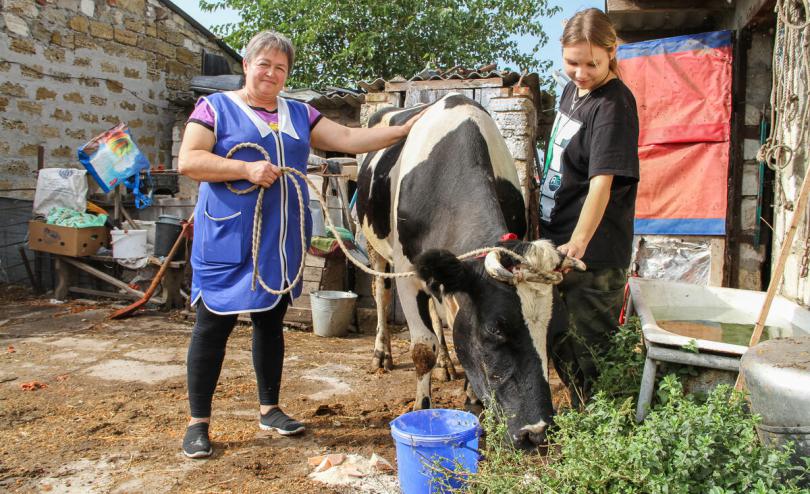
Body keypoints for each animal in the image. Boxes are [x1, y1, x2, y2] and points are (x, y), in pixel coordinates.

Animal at [356, 92, 580, 448]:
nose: (538, 432)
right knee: (380, 293)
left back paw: (447, 364)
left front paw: (472, 397)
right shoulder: (409, 274)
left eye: (555, 330)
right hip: (374, 242)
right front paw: (423, 409)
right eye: (495, 329)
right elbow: (423, 348)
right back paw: (382, 354)